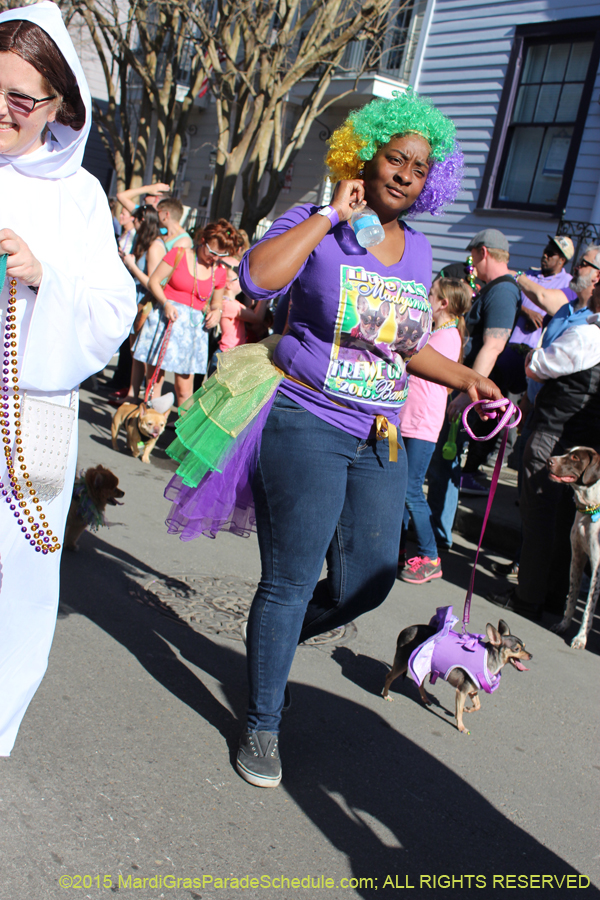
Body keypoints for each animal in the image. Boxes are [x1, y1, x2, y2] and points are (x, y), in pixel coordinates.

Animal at [382, 604, 532, 732]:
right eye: (517, 649)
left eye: (524, 646)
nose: (531, 655)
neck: (488, 659)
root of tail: (405, 630)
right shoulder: (462, 691)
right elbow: (459, 712)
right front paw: (461, 726)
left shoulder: (472, 690)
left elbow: (477, 705)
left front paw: (468, 709)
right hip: (402, 663)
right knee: (389, 677)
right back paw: (386, 695)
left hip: (422, 665)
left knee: (420, 683)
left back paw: (425, 699)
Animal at [548, 446, 600, 652]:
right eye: (567, 451)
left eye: (576, 457)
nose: (549, 460)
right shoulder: (577, 557)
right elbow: (572, 595)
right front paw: (563, 625)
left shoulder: (597, 568)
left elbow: (588, 608)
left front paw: (581, 638)